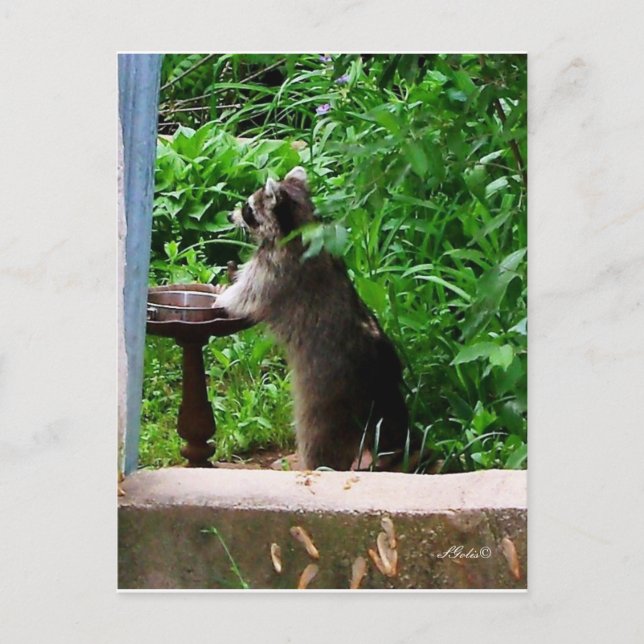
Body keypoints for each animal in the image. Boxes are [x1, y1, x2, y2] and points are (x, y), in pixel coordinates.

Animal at [216, 167, 410, 470]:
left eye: (248, 208)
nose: (229, 215)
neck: (301, 222)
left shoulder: (276, 272)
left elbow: (242, 299)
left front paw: (221, 292)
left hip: (327, 398)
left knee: (317, 439)